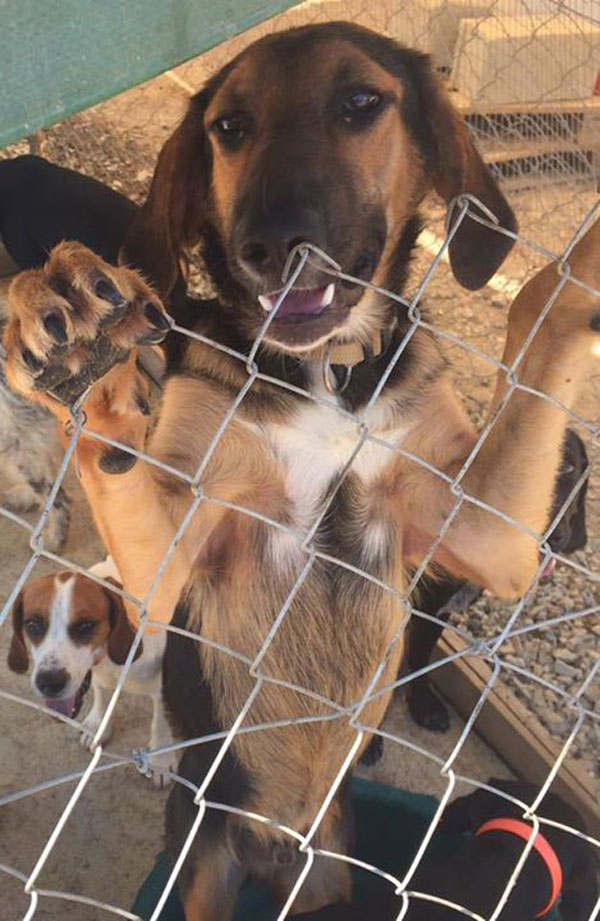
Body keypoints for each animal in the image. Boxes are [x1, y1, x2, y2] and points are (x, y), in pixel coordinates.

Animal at [6, 552, 176, 784]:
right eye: (32, 625)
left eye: (86, 625)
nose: (49, 683)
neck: (108, 658)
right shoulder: (98, 677)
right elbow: (101, 694)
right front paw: (97, 724)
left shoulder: (162, 688)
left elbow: (160, 723)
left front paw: (160, 761)